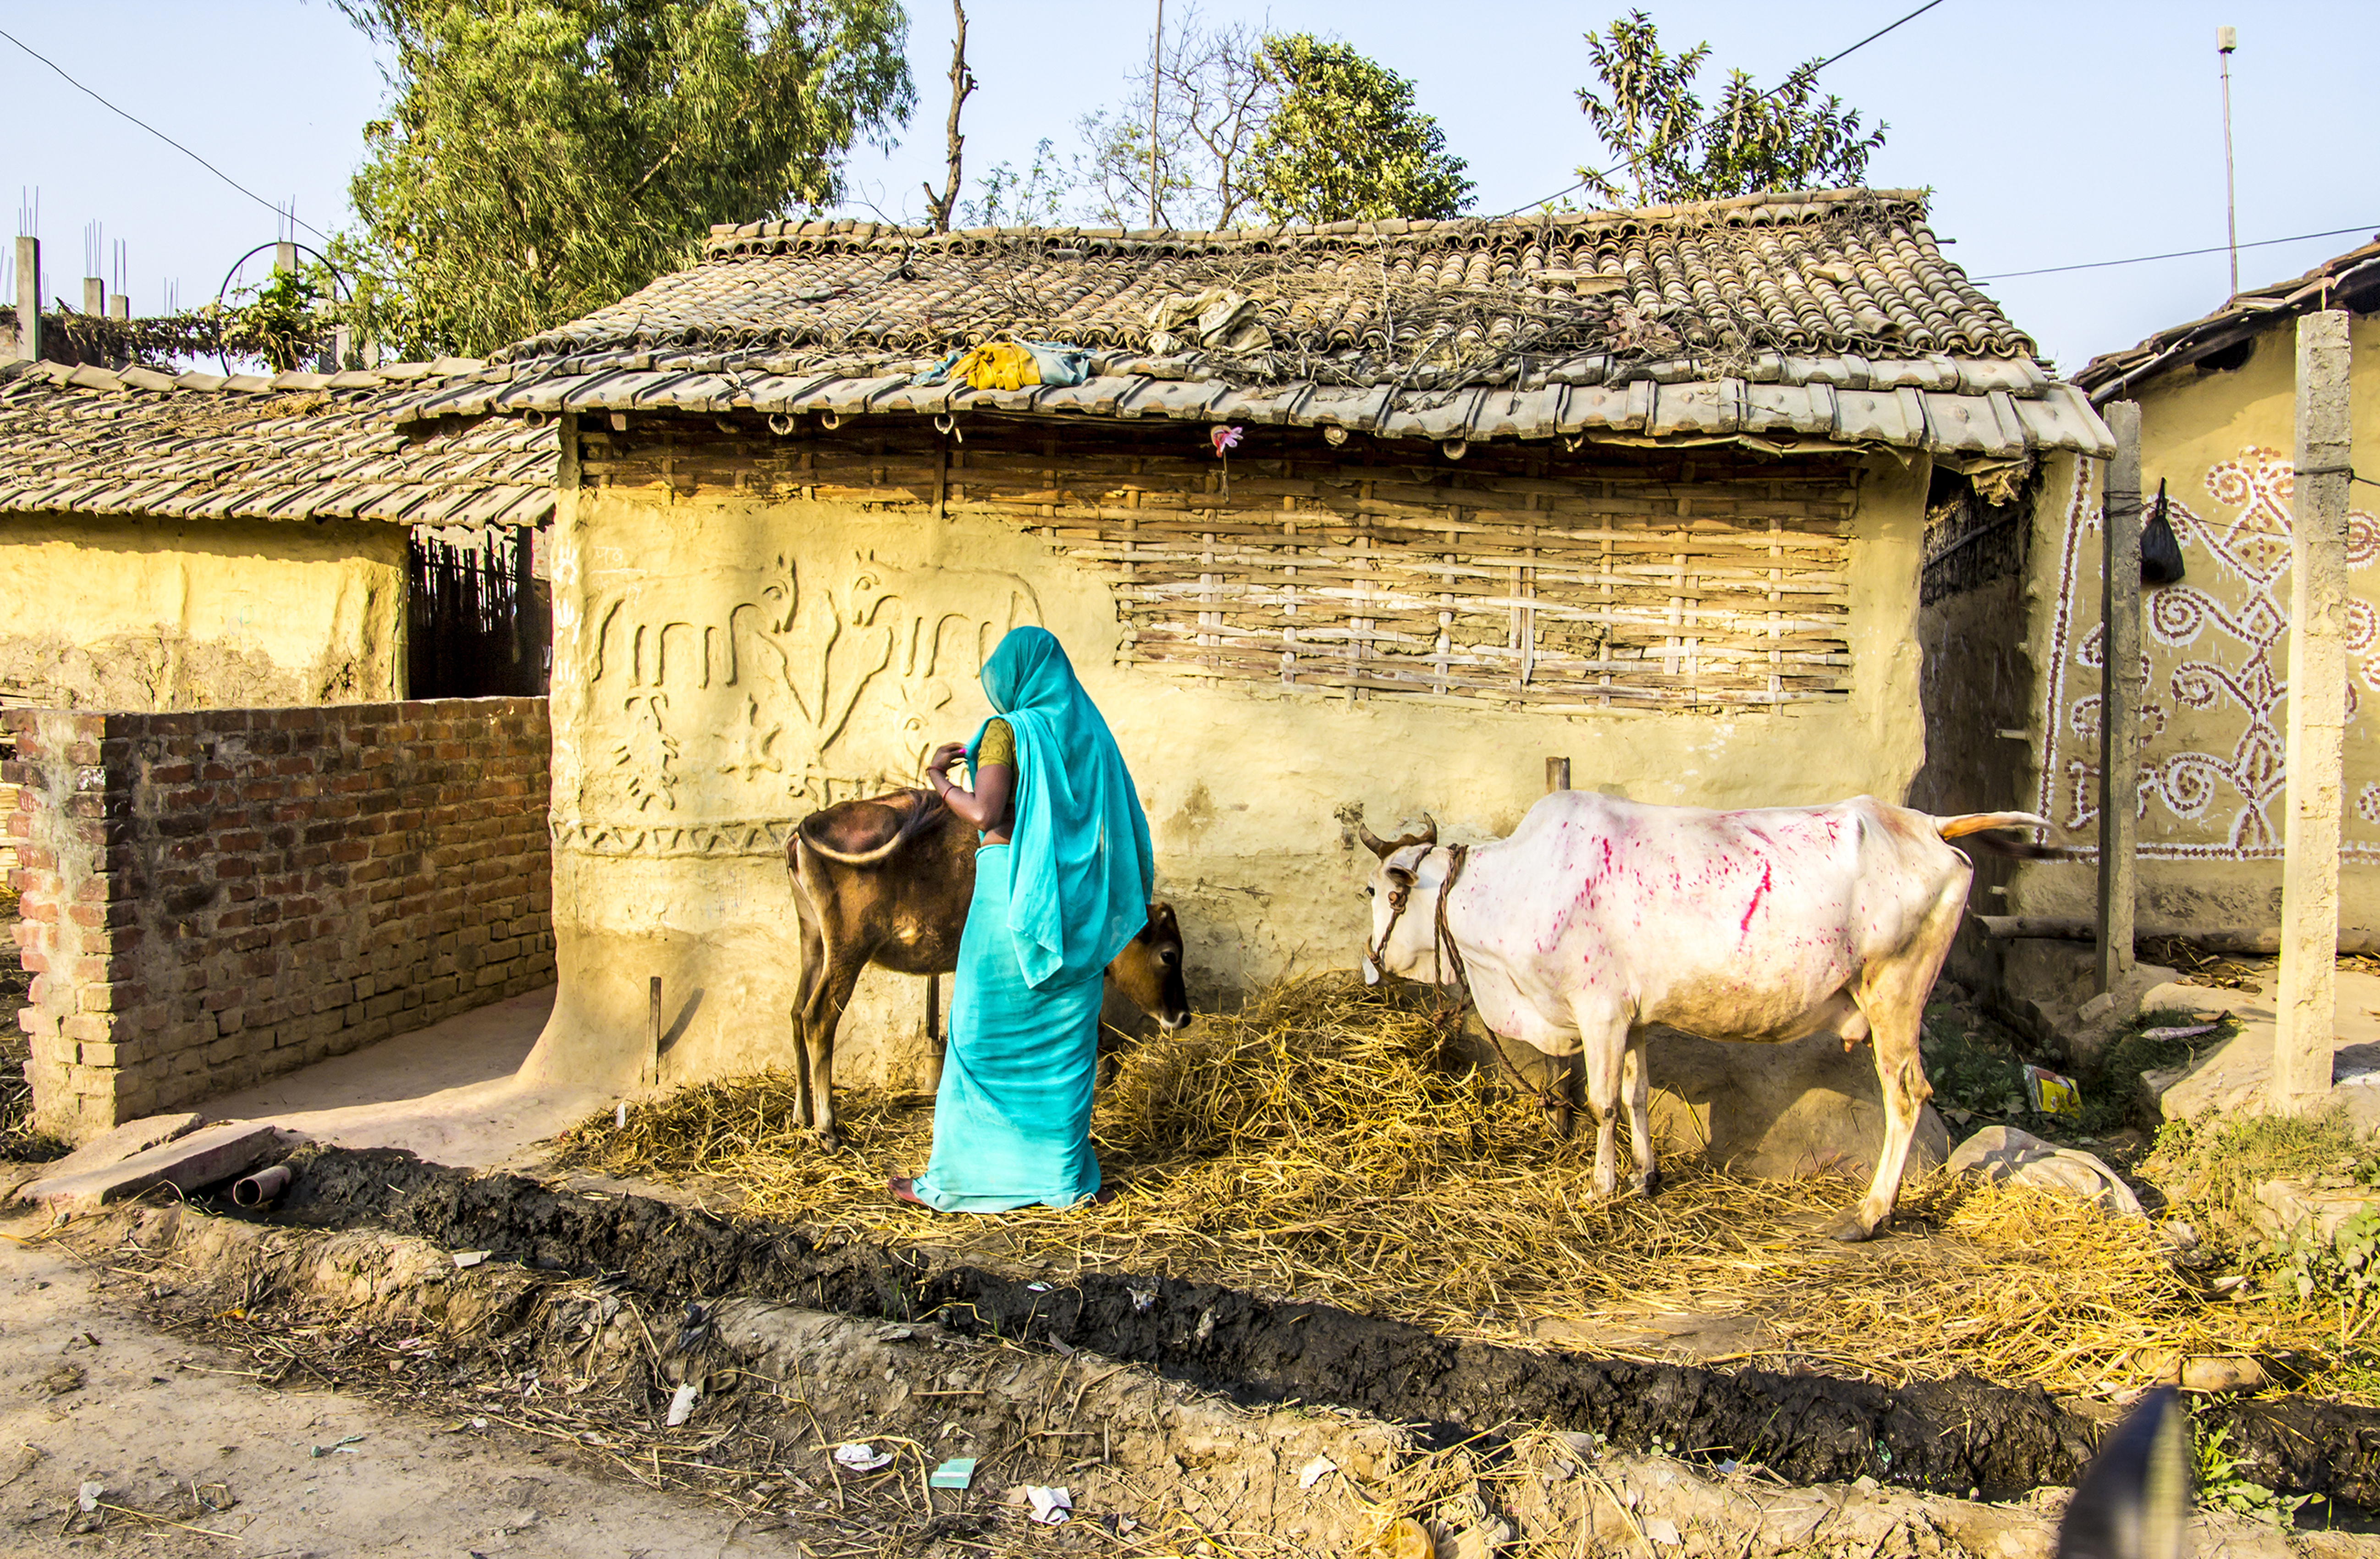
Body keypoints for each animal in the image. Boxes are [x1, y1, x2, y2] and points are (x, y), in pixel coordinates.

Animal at [1361, 795, 2047, 1247]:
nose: (1369, 963)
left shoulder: (1599, 1009)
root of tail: (1925, 822)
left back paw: (1870, 1213)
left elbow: (1602, 1102)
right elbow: (1635, 1093)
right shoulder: (1632, 1018)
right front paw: (1645, 1176)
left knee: (1906, 1095)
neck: (1517, 888)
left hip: (1895, 993)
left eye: (1387, 895)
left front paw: (1600, 1188)